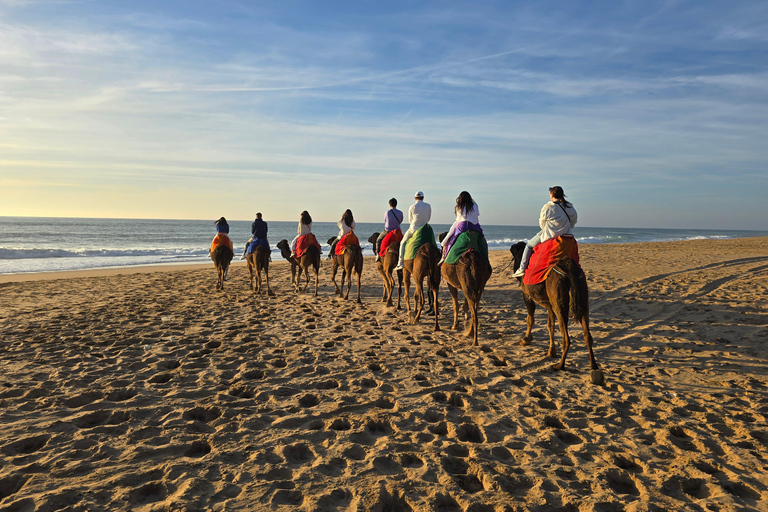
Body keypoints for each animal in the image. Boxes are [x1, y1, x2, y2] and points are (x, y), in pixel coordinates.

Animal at [512, 237, 604, 384]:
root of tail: (570, 270)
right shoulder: (550, 305)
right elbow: (550, 325)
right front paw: (551, 351)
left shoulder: (527, 295)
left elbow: (530, 318)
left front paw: (525, 339)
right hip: (582, 298)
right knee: (587, 335)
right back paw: (594, 369)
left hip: (560, 303)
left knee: (566, 338)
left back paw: (560, 366)